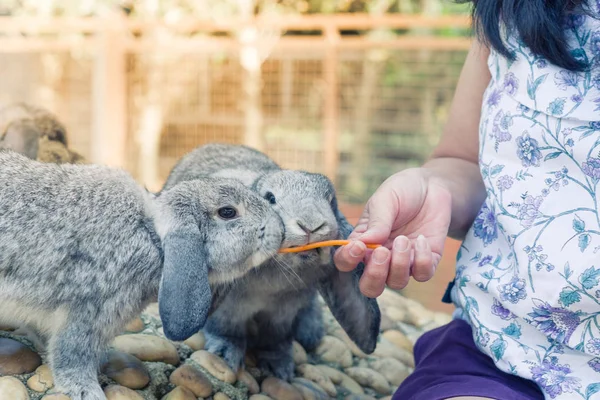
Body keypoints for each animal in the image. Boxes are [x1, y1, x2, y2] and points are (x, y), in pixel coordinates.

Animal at [0, 150, 284, 400]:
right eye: (228, 212)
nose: (280, 230)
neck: (151, 236)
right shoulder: (91, 312)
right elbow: (72, 354)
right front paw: (88, 391)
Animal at [162, 144, 382, 382]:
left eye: (331, 201)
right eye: (270, 198)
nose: (311, 225)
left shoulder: (282, 313)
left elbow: (276, 340)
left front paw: (280, 369)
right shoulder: (230, 310)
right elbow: (227, 331)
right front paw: (224, 355)